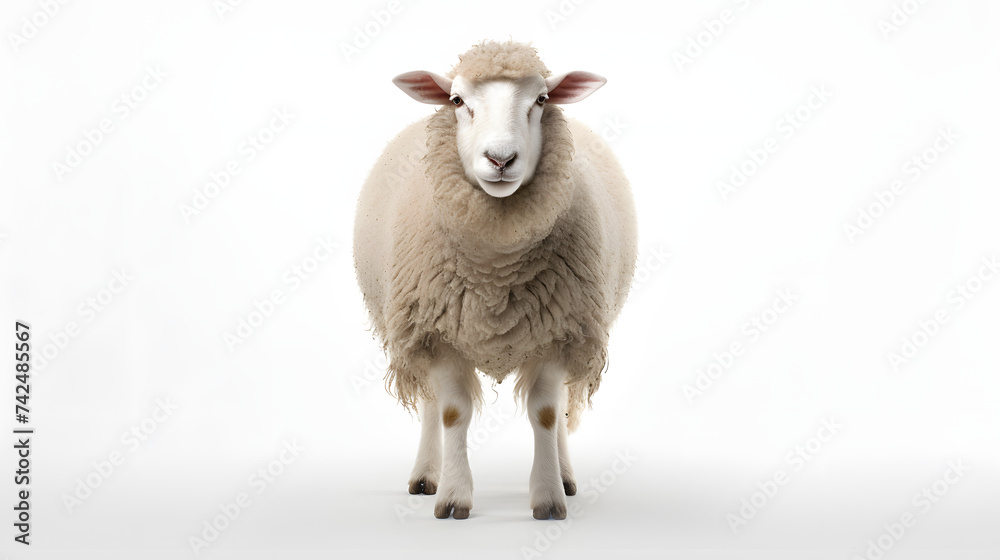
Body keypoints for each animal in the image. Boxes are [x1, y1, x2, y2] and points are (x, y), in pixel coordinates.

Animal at [353, 40, 637, 520]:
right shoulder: (438, 332)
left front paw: (548, 498)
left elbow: (546, 414)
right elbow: (452, 412)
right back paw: (426, 476)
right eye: (457, 100)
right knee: (430, 403)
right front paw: (453, 498)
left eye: (542, 99)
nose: (501, 159)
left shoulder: (559, 330)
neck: (496, 269)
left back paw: (565, 475)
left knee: (562, 408)